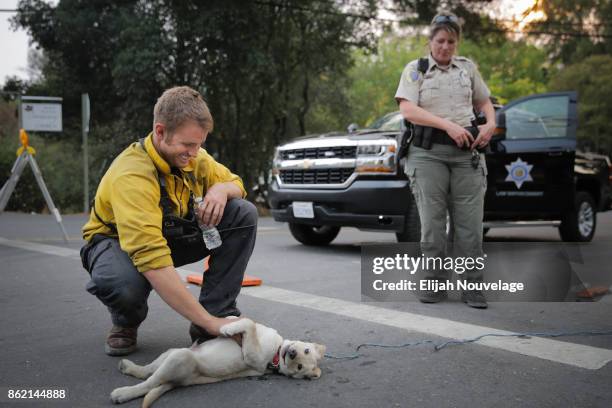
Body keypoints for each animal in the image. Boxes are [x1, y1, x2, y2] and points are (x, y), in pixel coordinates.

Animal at [112, 318, 328, 408]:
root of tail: (184, 380)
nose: (291, 353)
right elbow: (247, 321)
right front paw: (229, 321)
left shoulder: (254, 358)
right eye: (306, 350)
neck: (276, 352)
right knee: (148, 372)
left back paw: (122, 393)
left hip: (180, 358)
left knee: (149, 383)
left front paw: (227, 328)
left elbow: (249, 323)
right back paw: (130, 367)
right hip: (173, 352)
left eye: (299, 367)